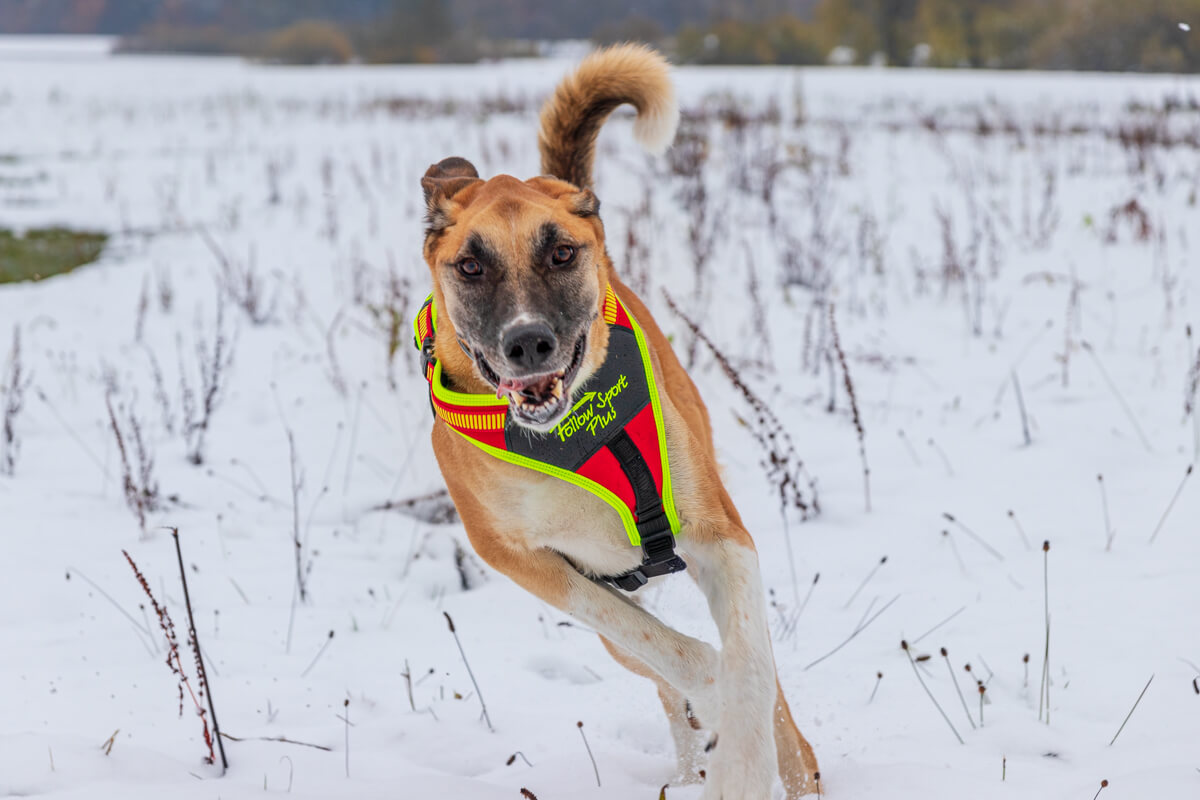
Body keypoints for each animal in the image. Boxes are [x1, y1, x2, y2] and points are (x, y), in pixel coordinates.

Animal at [417, 45, 820, 800]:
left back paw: (794, 771)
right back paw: (693, 760)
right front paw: (715, 723)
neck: (569, 433)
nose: (528, 343)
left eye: (562, 252)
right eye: (471, 264)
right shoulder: (528, 565)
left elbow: (750, 664)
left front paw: (744, 767)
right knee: (659, 666)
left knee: (762, 685)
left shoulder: (722, 537)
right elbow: (684, 657)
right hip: (605, 618)